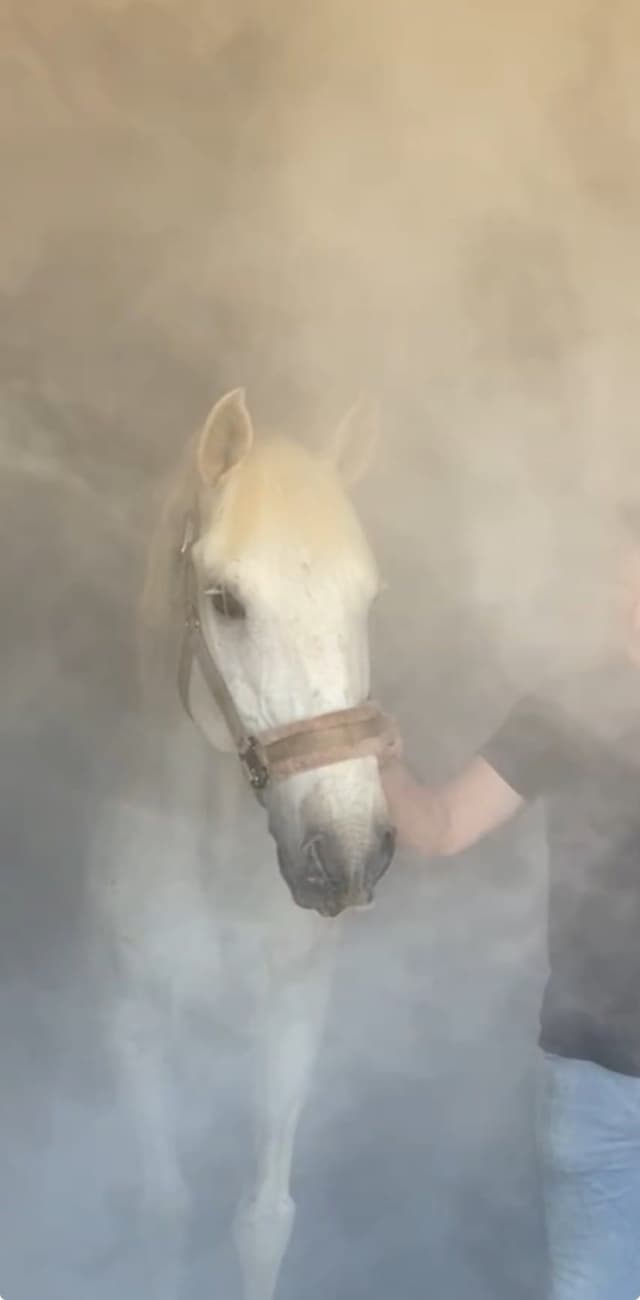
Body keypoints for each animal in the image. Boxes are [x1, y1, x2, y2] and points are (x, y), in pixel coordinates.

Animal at [88, 388, 398, 1300]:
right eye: (225, 600)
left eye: (367, 599)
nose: (349, 853)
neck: (212, 857)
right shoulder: (133, 1023)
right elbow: (162, 1209)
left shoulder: (291, 1016)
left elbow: (264, 1219)